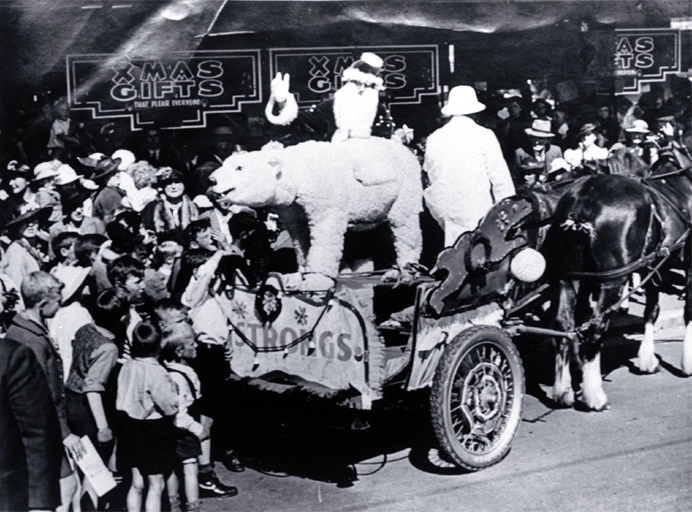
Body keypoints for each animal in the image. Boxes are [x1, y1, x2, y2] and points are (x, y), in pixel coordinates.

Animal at [544, 146, 688, 410]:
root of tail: (583, 203)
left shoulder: (652, 267)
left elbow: (651, 310)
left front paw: (647, 359)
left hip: (569, 277)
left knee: (564, 324)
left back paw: (562, 390)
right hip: (611, 280)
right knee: (596, 325)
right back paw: (594, 396)